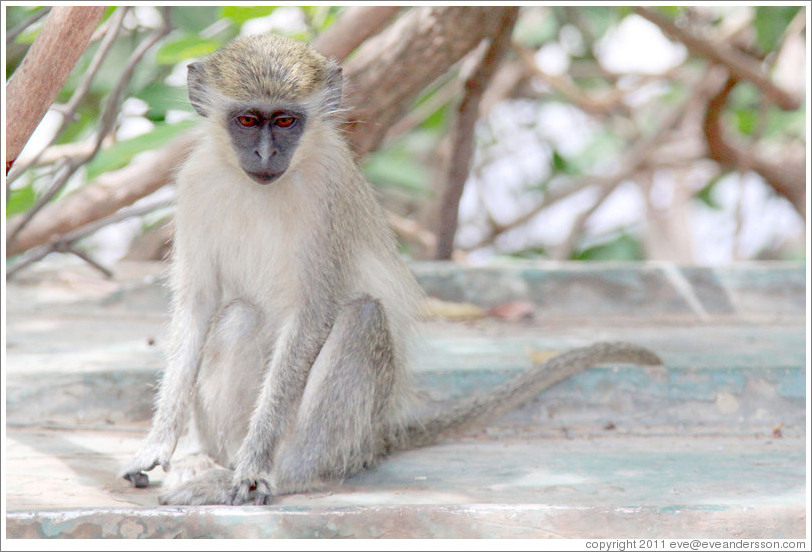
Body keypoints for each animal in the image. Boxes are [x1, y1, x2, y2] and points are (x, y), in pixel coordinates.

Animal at [120, 34, 664, 506]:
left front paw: (254, 468)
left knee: (361, 320)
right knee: (238, 317)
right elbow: (197, 307)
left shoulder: (329, 195)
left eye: (287, 121)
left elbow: (312, 315)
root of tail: (379, 434)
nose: (265, 155)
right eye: (249, 120)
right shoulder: (194, 187)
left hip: (354, 435)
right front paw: (158, 444)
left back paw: (281, 473)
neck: (259, 188)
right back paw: (209, 460)